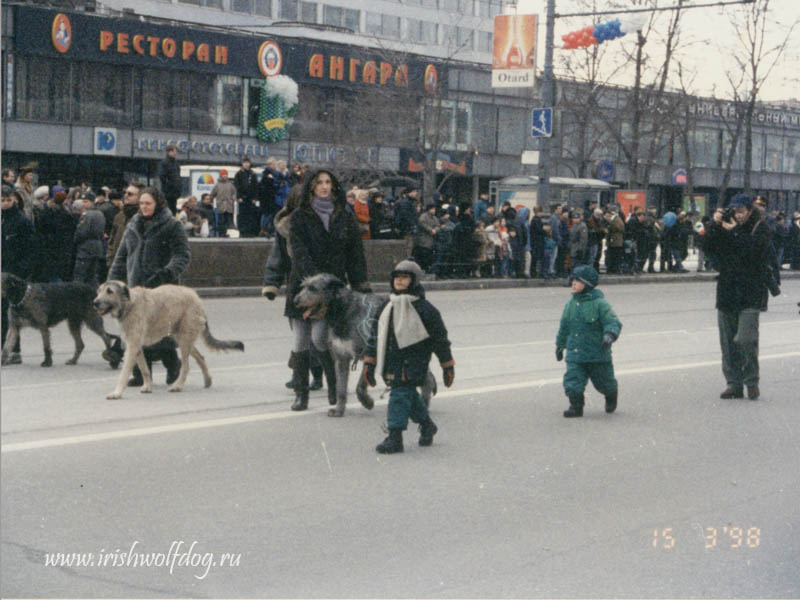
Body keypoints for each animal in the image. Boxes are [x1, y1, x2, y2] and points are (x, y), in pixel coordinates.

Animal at [94, 282, 244, 404]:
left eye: (110, 291)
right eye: (99, 290)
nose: (95, 302)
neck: (128, 305)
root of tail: (197, 298)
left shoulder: (132, 346)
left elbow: (124, 373)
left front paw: (117, 393)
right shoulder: (136, 346)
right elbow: (144, 369)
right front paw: (147, 386)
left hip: (184, 339)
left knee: (186, 366)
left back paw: (178, 385)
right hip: (182, 338)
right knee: (200, 357)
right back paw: (207, 381)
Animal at [292, 274, 434, 418]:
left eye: (313, 288)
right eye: (303, 286)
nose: (295, 301)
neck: (344, 309)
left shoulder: (369, 354)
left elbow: (359, 386)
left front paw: (367, 402)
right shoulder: (341, 358)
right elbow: (341, 388)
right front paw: (339, 410)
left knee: (424, 376)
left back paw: (425, 402)